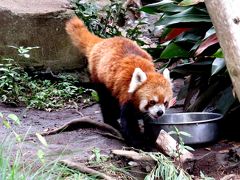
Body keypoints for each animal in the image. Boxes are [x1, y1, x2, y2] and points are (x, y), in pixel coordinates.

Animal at [65, 15, 172, 148]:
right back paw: (111, 122)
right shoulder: (126, 96)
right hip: (99, 78)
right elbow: (129, 123)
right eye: (152, 101)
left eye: (165, 102)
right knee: (105, 101)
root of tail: (102, 41)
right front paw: (140, 143)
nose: (160, 112)